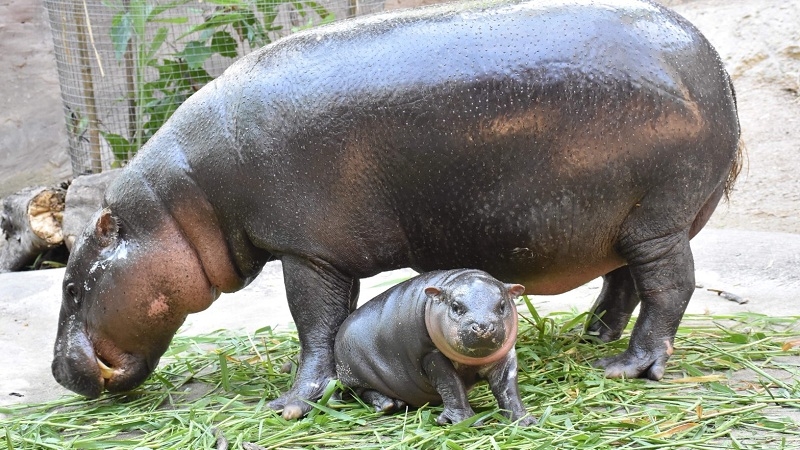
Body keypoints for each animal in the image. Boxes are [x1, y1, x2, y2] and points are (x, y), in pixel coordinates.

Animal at [335, 269, 534, 425]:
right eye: (455, 306)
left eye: (502, 305)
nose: (483, 326)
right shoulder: (431, 355)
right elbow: (451, 385)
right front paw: (466, 422)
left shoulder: (505, 355)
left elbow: (508, 387)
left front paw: (524, 421)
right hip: (355, 373)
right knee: (362, 391)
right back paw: (389, 405)